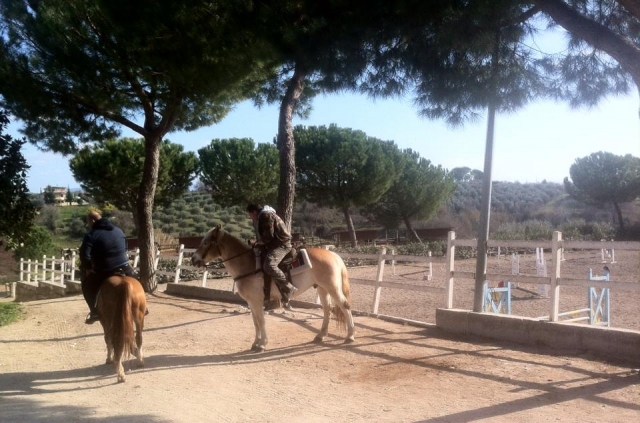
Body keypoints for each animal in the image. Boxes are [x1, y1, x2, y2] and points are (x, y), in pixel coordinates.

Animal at [191, 224, 355, 352]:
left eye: (206, 242)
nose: (193, 259)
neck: (247, 265)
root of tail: (334, 255)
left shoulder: (257, 301)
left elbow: (261, 321)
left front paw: (262, 344)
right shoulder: (251, 302)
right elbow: (255, 321)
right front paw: (255, 343)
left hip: (333, 288)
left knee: (345, 306)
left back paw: (350, 336)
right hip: (322, 288)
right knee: (327, 310)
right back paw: (320, 336)